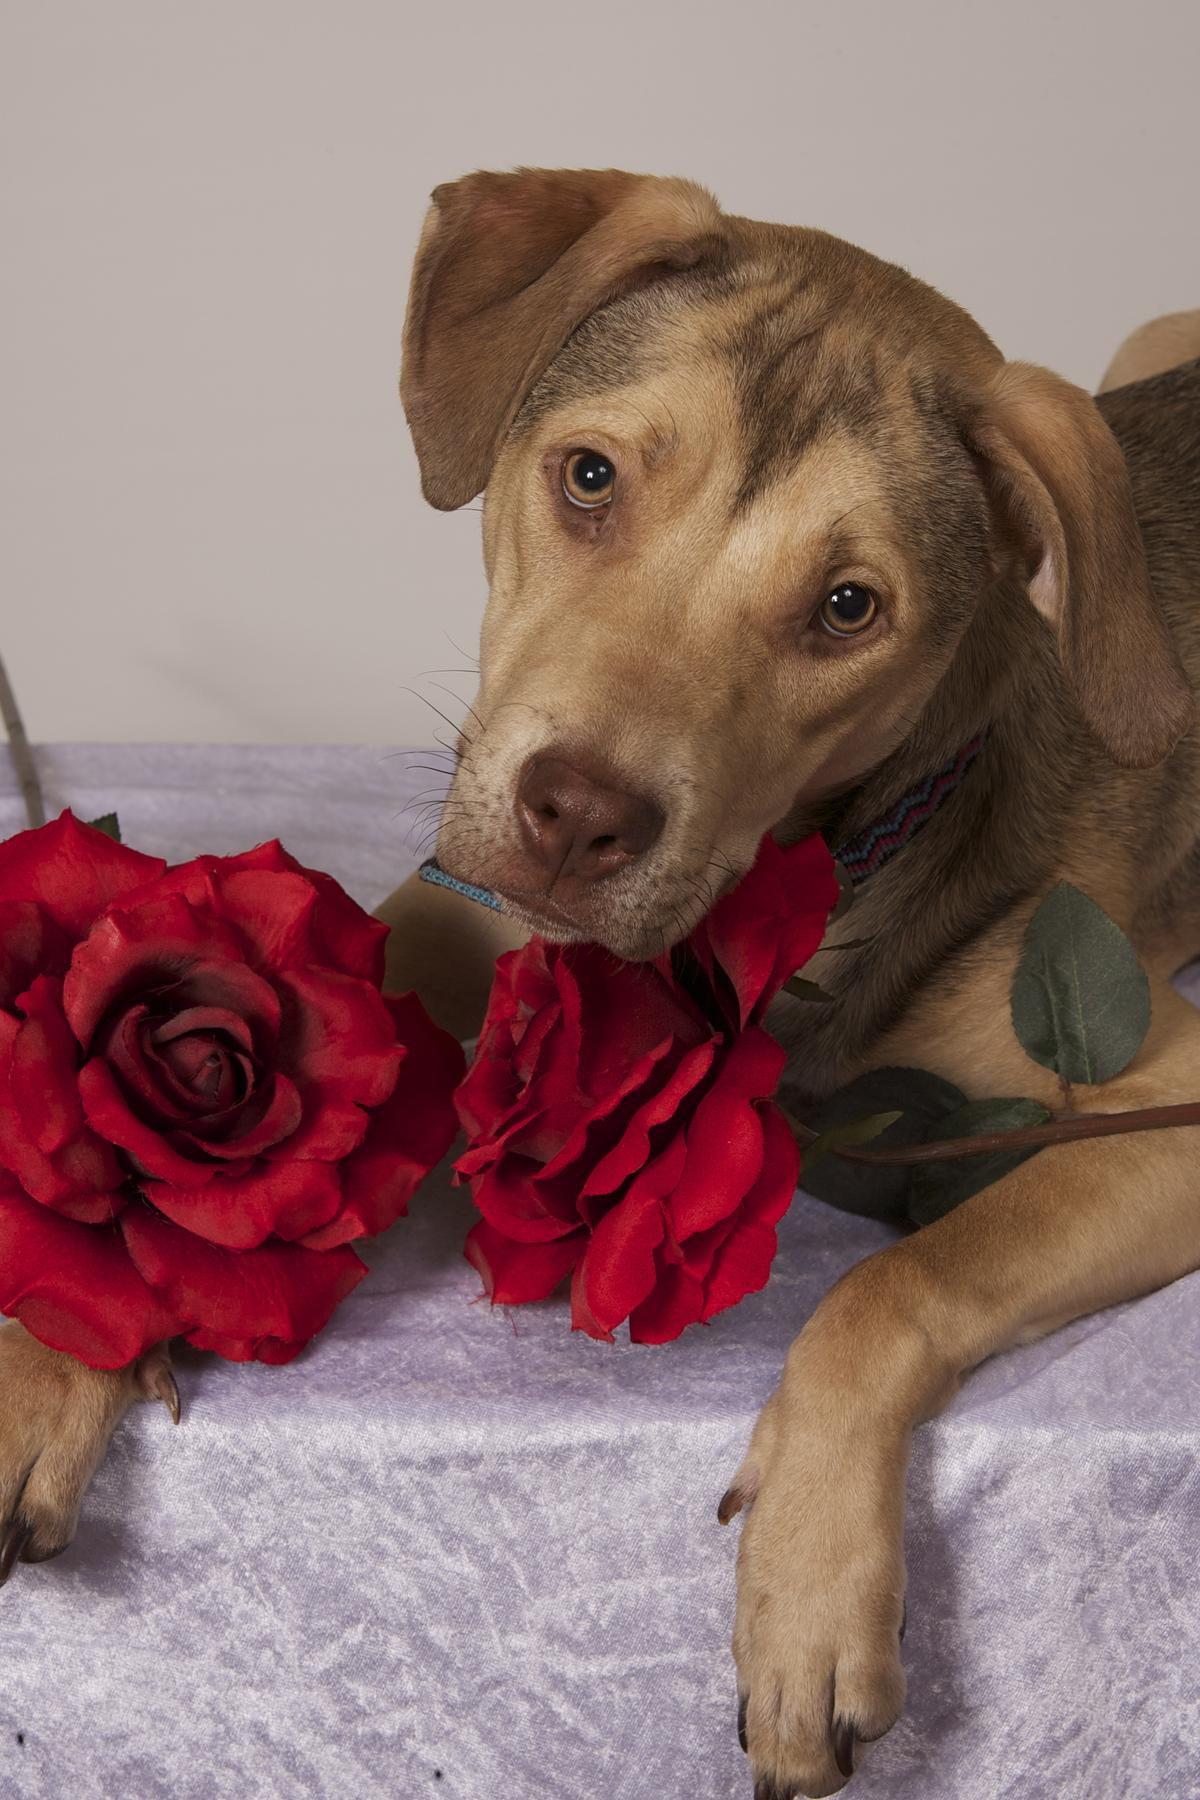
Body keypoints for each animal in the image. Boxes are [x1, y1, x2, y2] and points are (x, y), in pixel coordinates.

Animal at [2, 169, 1200, 1800]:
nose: (576, 818)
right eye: (587, 477)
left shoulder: (1170, 1117)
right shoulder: (438, 929)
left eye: (848, 609)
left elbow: (899, 1280)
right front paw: (49, 1351)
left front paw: (811, 1591)